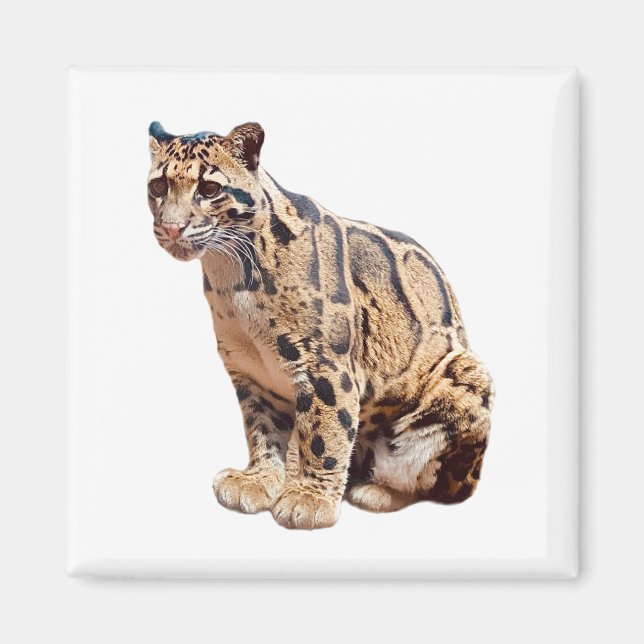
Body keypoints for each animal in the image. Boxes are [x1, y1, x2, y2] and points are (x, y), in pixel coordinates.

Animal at [147, 120, 494, 530]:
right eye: (158, 187)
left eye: (210, 189)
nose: (171, 228)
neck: (230, 276)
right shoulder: (250, 372)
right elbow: (262, 429)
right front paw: (260, 480)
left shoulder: (324, 366)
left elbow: (325, 434)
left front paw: (309, 499)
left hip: (467, 374)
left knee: (442, 484)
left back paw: (378, 490)